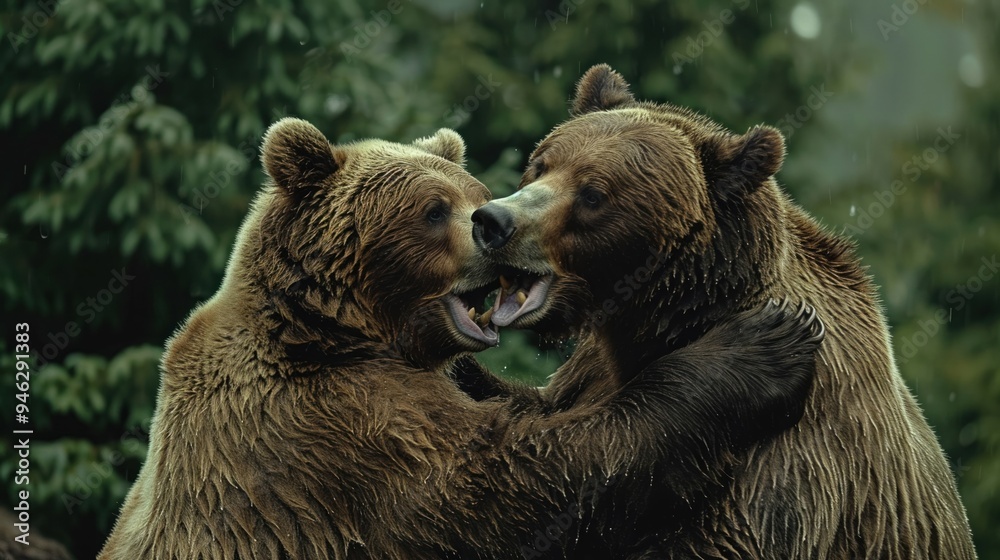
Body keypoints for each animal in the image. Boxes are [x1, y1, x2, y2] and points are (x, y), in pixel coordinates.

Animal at [98, 117, 824, 559]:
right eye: (432, 209)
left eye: (472, 189)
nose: (489, 224)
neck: (334, 330)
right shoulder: (340, 432)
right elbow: (521, 481)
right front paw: (765, 344)